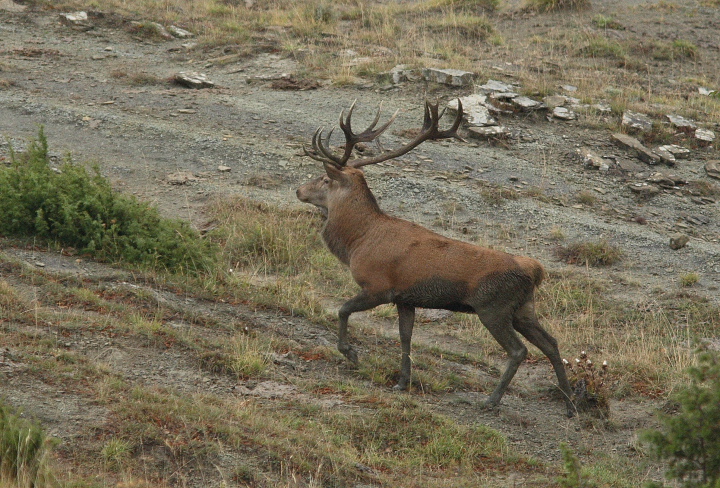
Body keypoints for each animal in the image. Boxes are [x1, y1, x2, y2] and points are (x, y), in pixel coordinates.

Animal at [296, 99, 575, 416]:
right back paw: (569, 404)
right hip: (524, 307)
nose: (299, 190)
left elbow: (343, 310)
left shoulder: (379, 286)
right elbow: (405, 336)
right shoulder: (405, 298)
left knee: (519, 350)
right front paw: (402, 381)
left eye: (324, 179)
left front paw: (351, 353)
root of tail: (535, 270)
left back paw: (492, 400)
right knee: (551, 344)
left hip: (494, 306)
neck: (358, 241)